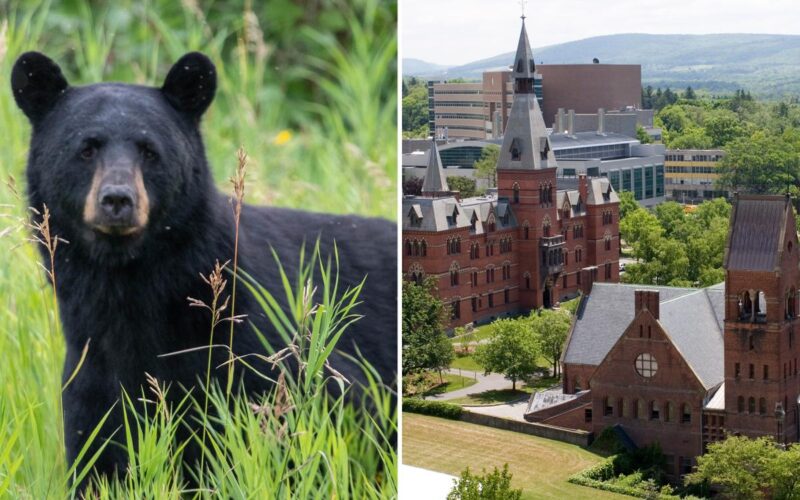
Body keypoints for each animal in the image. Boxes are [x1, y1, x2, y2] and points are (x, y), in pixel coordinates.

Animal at [10, 51, 397, 484]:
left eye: (149, 150)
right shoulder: (91, 370)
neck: (134, 285)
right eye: (86, 149)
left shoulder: (259, 346)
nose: (117, 200)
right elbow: (97, 455)